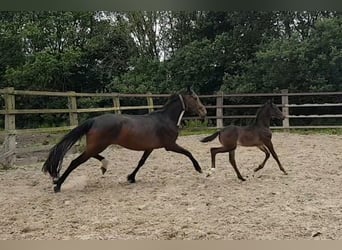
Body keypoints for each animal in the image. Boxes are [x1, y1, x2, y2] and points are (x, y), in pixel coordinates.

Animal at [41, 88, 207, 193]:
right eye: (195, 98)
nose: (204, 111)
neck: (165, 119)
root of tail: (93, 120)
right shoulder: (170, 145)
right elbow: (188, 152)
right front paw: (199, 168)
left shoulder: (149, 148)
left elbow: (141, 162)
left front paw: (131, 178)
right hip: (98, 145)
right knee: (75, 162)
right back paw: (58, 185)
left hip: (96, 146)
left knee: (90, 157)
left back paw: (104, 165)